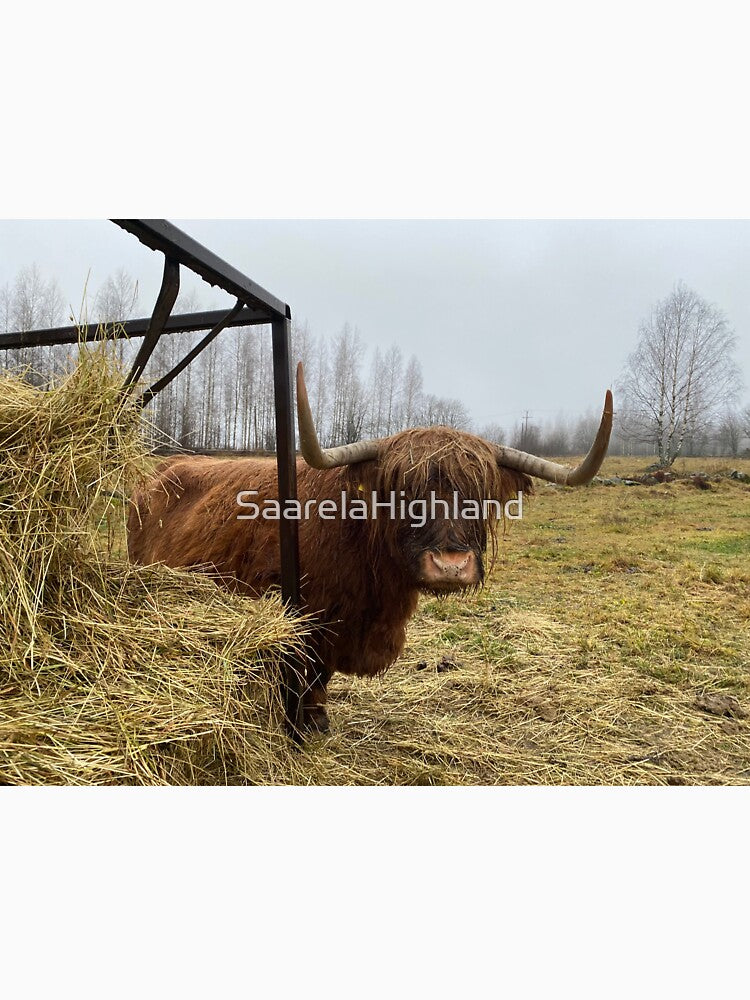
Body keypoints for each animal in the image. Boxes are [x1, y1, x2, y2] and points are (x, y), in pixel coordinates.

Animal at [128, 363, 613, 732]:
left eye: (483, 494)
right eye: (401, 493)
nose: (450, 565)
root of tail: (162, 468)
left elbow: (319, 678)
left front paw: (316, 720)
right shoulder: (302, 619)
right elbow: (302, 673)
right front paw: (299, 726)